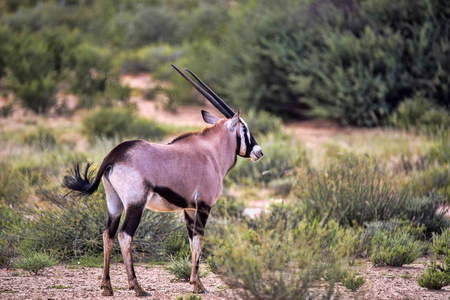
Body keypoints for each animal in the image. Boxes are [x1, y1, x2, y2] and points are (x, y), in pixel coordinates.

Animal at [61, 64, 262, 296]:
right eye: (244, 129)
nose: (259, 151)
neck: (212, 151)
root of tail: (115, 154)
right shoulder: (204, 205)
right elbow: (199, 240)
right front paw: (198, 285)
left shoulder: (189, 209)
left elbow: (192, 241)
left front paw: (195, 282)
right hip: (136, 204)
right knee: (124, 235)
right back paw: (137, 287)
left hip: (114, 203)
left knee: (107, 234)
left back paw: (107, 286)